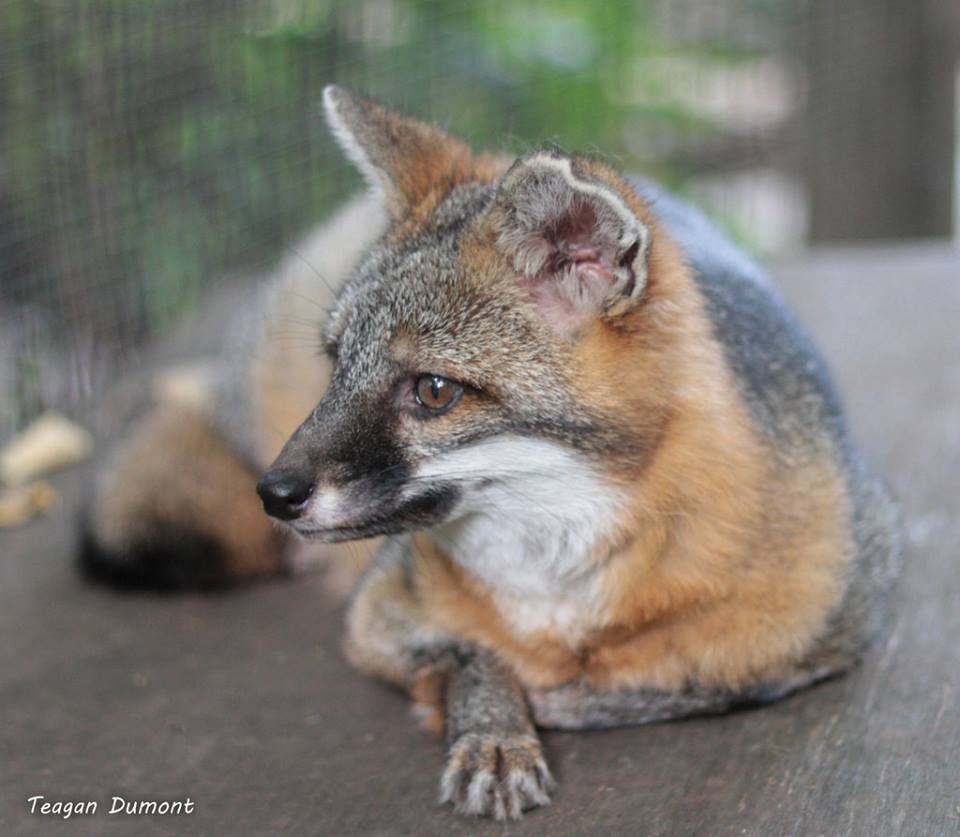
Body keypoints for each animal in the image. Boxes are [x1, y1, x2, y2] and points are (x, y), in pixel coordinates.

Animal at [80, 86, 901, 820]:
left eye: (434, 391)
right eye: (338, 362)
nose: (273, 494)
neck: (560, 582)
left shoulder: (835, 626)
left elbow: (689, 683)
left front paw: (562, 696)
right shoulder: (372, 616)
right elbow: (475, 653)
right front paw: (494, 730)